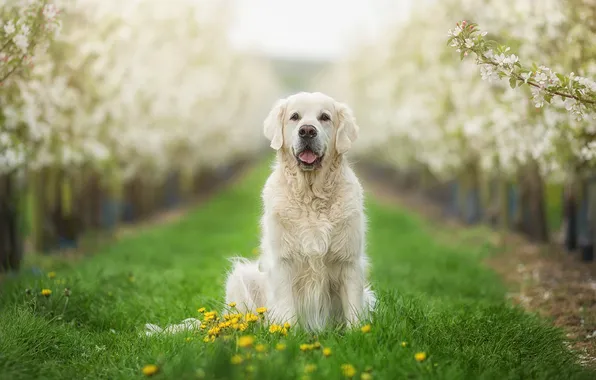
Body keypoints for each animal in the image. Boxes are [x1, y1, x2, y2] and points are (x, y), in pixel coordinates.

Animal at [226, 90, 374, 332]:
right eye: (294, 117)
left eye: (325, 117)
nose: (307, 131)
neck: (310, 197)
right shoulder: (283, 261)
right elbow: (287, 307)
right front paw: (289, 334)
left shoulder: (349, 260)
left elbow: (353, 307)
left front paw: (358, 333)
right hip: (240, 278)